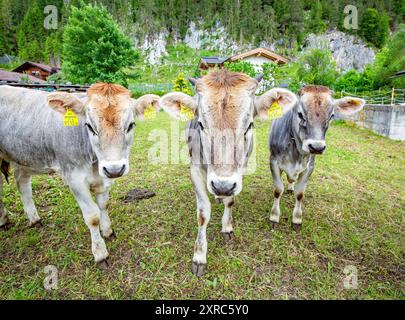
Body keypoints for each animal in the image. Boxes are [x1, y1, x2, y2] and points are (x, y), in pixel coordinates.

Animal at [0, 83, 158, 264]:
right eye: (89, 126)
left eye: (131, 125)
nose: (114, 169)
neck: (94, 163)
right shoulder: (75, 179)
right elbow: (92, 216)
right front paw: (100, 252)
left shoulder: (103, 179)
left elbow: (104, 205)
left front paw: (108, 231)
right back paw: (3, 219)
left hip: (24, 157)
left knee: (22, 183)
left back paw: (33, 219)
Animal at [266, 85, 364, 230]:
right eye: (300, 114)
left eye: (331, 115)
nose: (316, 147)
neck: (296, 153)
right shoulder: (274, 161)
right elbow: (278, 190)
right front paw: (274, 216)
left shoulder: (309, 167)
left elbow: (300, 194)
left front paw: (297, 219)